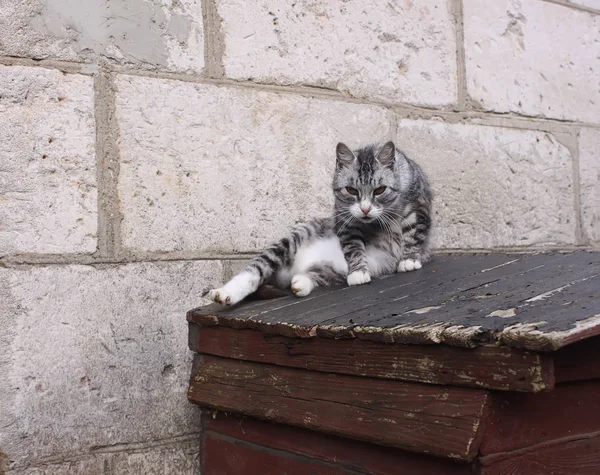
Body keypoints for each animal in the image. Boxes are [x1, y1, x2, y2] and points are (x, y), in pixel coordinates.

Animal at [206, 139, 432, 306]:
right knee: (255, 270)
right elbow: (353, 246)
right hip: (289, 242)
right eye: (351, 190)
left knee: (311, 276)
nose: (366, 209)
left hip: (332, 270)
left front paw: (409, 259)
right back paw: (225, 293)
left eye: (380, 190)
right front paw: (358, 272)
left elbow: (414, 232)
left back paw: (300, 283)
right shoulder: (344, 218)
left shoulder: (418, 205)